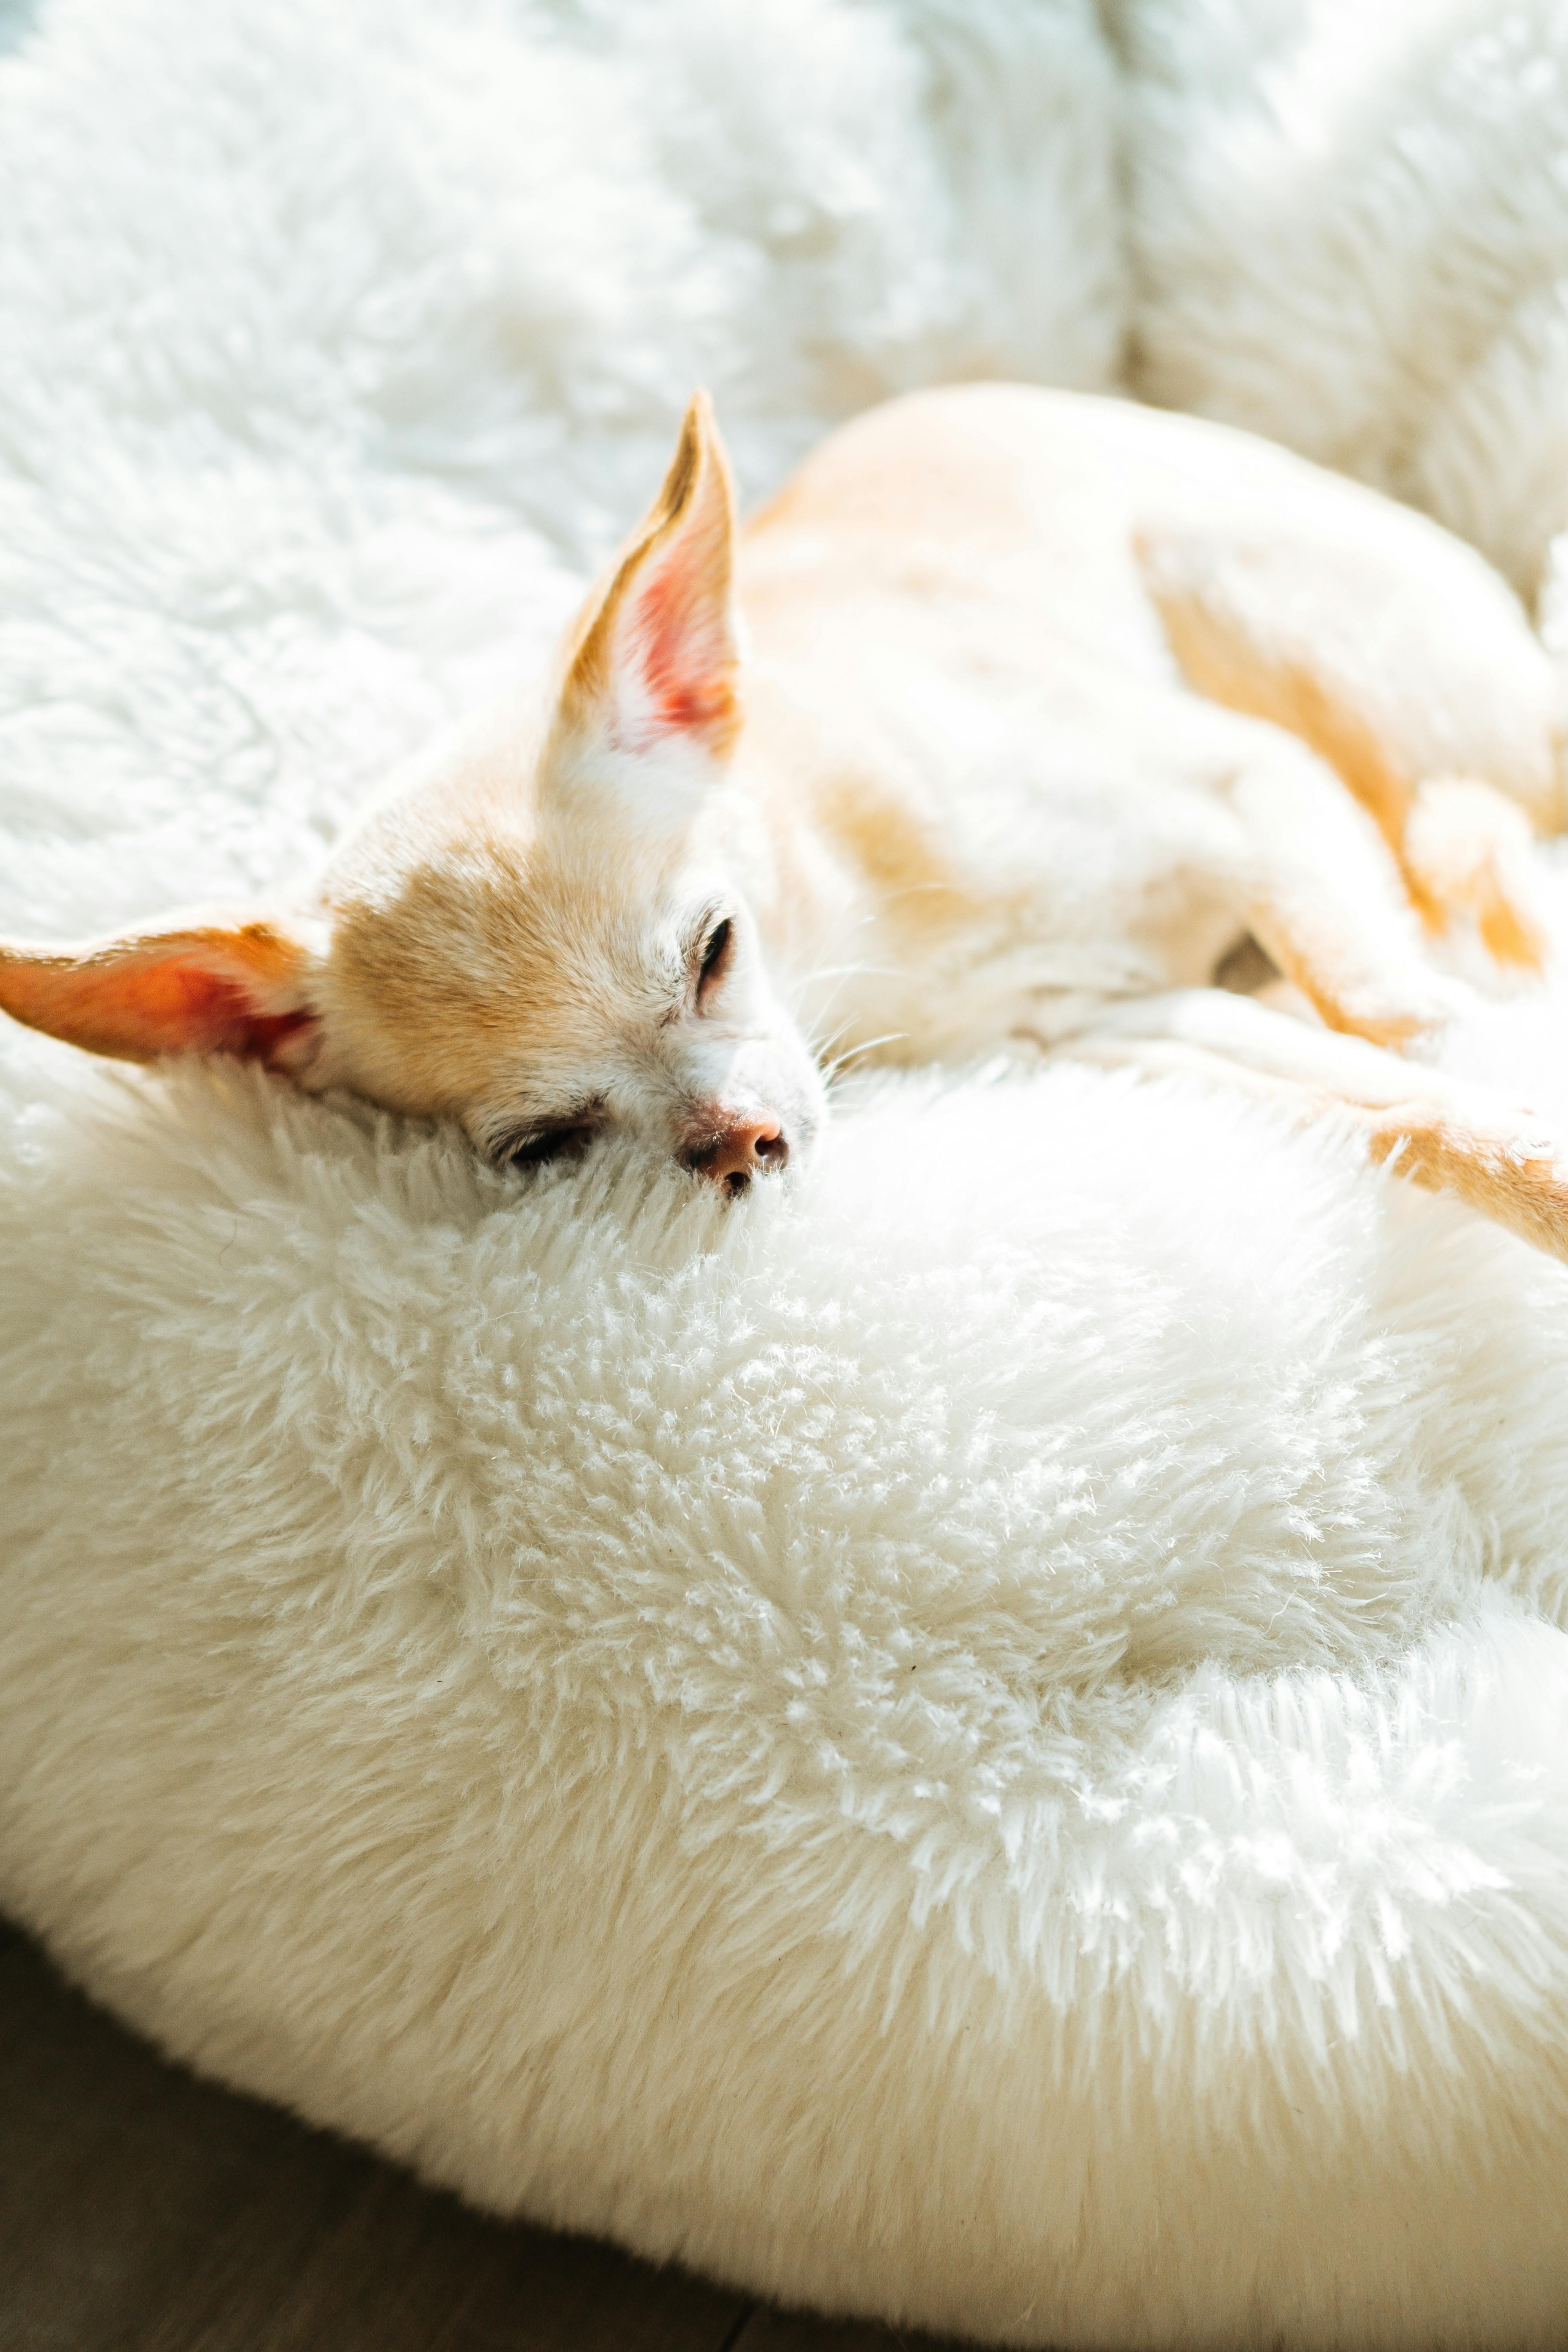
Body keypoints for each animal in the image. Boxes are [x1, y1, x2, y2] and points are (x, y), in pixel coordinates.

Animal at [3, 390, 1568, 1251]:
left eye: (714, 949)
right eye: (545, 1145)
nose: (736, 1144)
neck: (870, 922)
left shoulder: (1250, 783)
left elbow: (1387, 1013)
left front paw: (1493, 1052)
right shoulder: (1108, 1028)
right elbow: (1394, 1112)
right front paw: (1516, 1160)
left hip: (1301, 629)